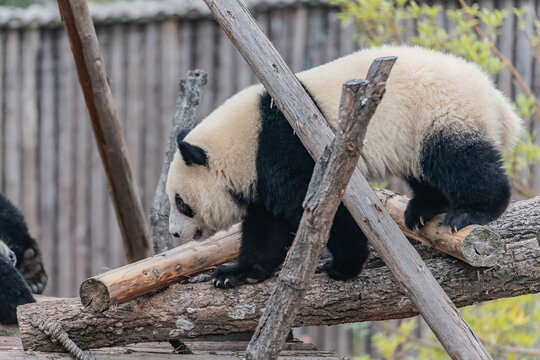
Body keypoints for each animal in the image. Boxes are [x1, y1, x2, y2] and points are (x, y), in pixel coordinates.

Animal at [166, 45, 524, 286]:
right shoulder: (265, 173)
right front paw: (236, 274)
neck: (249, 139)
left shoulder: (292, 147)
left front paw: (344, 266)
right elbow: (266, 227)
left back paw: (472, 211)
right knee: (426, 172)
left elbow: (332, 208)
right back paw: (421, 211)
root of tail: (494, 98)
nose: (174, 232)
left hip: (441, 112)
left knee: (458, 160)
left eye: (181, 203)